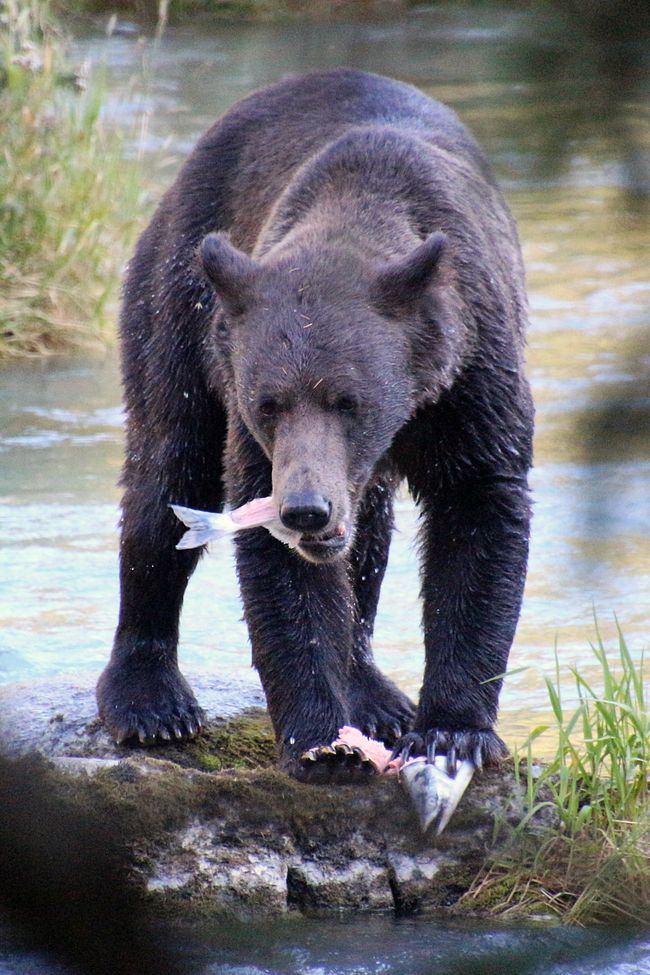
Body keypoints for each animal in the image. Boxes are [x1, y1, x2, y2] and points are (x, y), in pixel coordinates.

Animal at [96, 68, 532, 780]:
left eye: (349, 400)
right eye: (267, 402)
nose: (306, 508)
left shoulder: (470, 378)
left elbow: (479, 509)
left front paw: (453, 731)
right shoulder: (256, 426)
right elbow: (281, 571)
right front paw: (324, 740)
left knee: (368, 538)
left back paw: (376, 692)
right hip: (178, 296)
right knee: (167, 472)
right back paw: (149, 698)